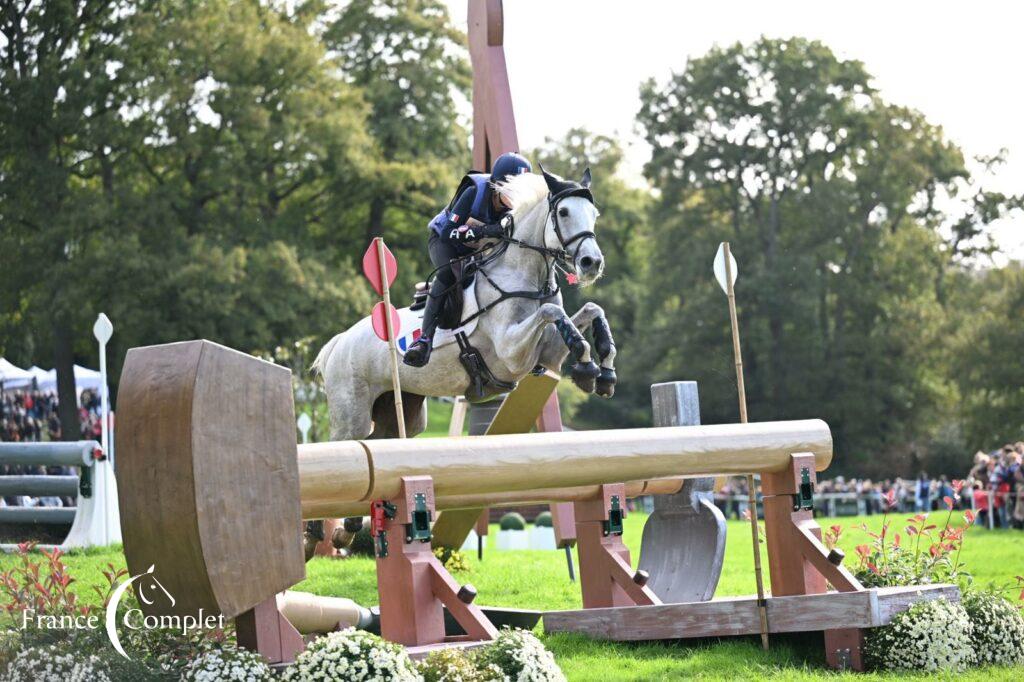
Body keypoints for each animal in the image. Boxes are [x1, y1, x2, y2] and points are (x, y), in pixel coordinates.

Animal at [311, 166, 614, 438]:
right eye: (563, 212)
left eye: (594, 215)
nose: (592, 263)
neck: (524, 275)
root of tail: (339, 342)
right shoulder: (511, 352)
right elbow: (552, 311)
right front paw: (588, 369)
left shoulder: (547, 353)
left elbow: (591, 309)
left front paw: (603, 373)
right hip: (351, 417)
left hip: (402, 410)